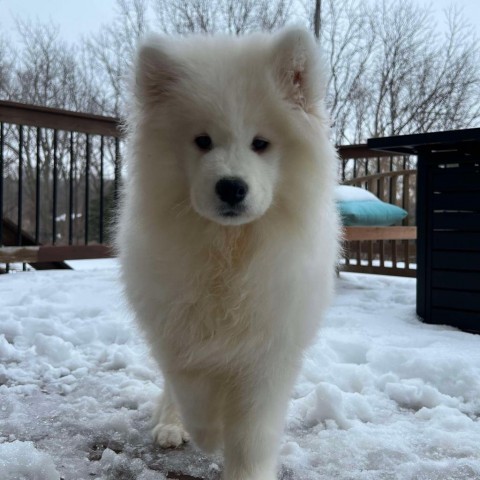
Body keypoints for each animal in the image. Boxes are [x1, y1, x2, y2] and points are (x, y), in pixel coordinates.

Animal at [117, 27, 340, 480]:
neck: (230, 248)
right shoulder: (179, 333)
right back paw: (171, 425)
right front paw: (209, 433)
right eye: (202, 141)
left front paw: (242, 464)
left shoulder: (269, 350)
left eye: (261, 143)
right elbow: (194, 391)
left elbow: (252, 434)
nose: (232, 187)